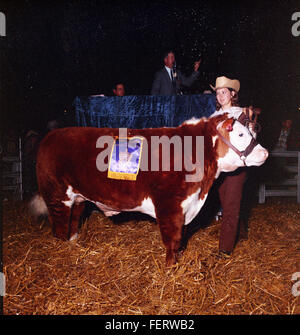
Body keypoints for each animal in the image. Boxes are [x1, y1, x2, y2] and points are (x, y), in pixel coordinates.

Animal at [31, 115, 268, 268]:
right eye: (240, 134)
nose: (265, 153)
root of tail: (50, 137)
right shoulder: (169, 205)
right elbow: (173, 239)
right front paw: (171, 268)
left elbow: (180, 240)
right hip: (57, 195)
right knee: (60, 225)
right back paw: (63, 248)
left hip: (79, 196)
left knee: (74, 219)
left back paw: (74, 242)